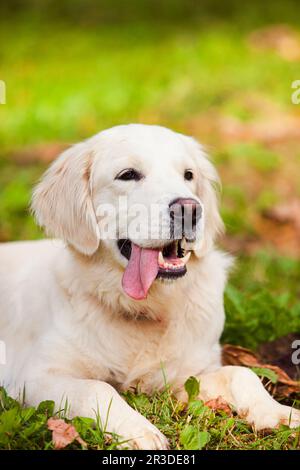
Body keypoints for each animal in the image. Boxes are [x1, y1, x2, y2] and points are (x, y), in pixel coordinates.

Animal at [0, 124, 298, 448]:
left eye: (188, 175)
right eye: (128, 174)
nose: (190, 210)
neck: (143, 308)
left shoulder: (187, 375)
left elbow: (241, 373)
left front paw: (277, 412)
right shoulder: (35, 377)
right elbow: (97, 387)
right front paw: (139, 430)